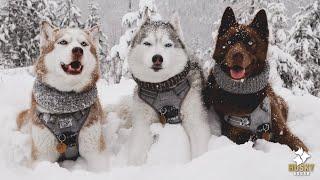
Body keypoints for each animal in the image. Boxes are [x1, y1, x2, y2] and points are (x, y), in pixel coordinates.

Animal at [204, 7, 308, 151]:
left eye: (250, 42)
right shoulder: (237, 135)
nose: (237, 55)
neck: (245, 94)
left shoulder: (280, 129)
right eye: (229, 42)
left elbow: (298, 144)